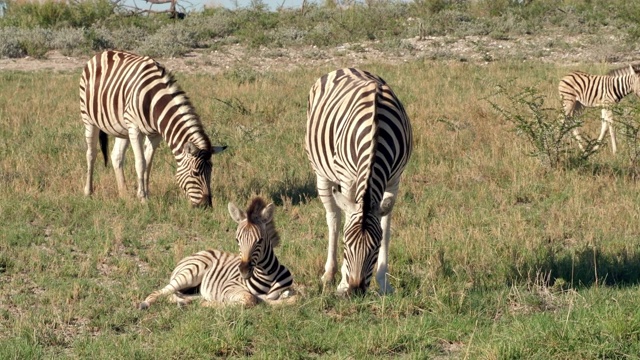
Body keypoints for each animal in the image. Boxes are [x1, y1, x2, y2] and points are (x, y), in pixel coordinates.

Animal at [79, 51, 226, 208]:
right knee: (91, 154)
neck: (155, 102)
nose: (206, 205)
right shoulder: (135, 129)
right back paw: (88, 192)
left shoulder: (155, 134)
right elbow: (140, 163)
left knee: (116, 156)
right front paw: (143, 199)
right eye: (195, 173)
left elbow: (148, 164)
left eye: (211, 171)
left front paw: (145, 195)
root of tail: (102, 53)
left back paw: (124, 195)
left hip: (122, 128)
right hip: (89, 119)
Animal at [140, 197, 296, 310]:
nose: (244, 271)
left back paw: (186, 302)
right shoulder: (229, 287)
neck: (267, 276)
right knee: (160, 292)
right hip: (189, 274)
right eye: (237, 240)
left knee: (177, 296)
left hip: (193, 288)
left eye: (260, 240)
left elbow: (293, 298)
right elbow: (250, 299)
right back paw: (145, 303)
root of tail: (197, 253)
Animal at [306, 67, 416, 296]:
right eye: (346, 245)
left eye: (375, 247)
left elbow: (386, 226)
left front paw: (383, 282)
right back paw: (329, 274)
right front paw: (342, 282)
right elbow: (347, 218)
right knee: (334, 218)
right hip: (321, 173)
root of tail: (344, 68)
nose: (355, 290)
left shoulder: (394, 180)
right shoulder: (348, 179)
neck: (376, 133)